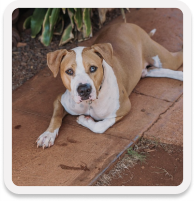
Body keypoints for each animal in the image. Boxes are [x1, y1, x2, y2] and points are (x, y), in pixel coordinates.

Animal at [35, 22, 183, 148]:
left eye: (93, 68)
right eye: (69, 71)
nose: (84, 90)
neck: (90, 103)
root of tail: (126, 23)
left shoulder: (123, 108)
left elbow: (100, 126)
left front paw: (84, 120)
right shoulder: (60, 100)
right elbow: (55, 117)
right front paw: (47, 135)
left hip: (164, 59)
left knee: (178, 58)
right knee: (154, 70)